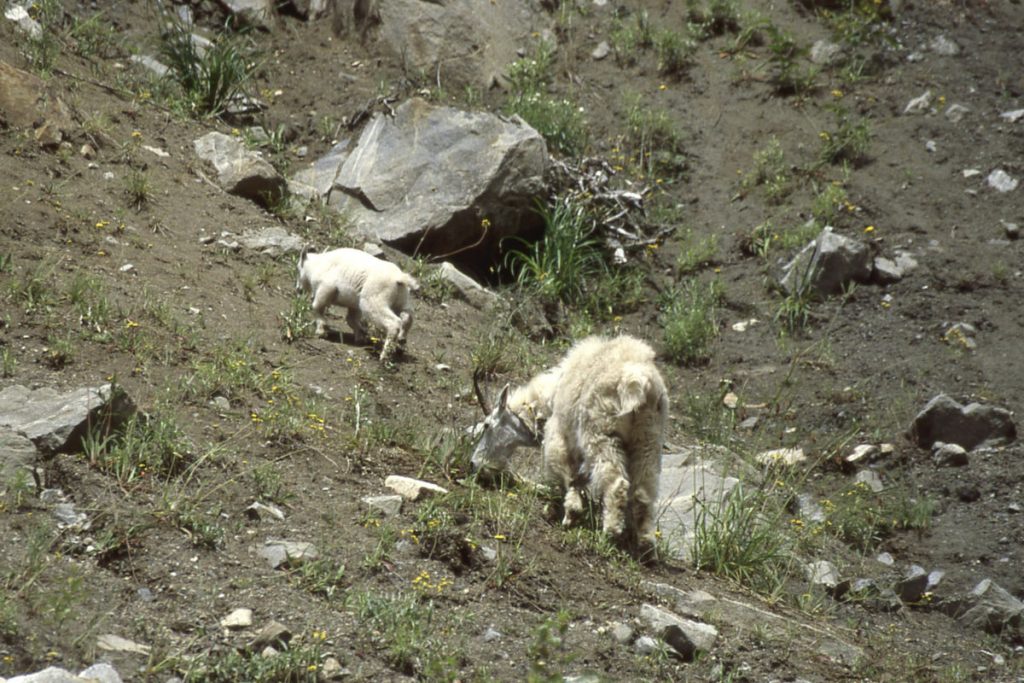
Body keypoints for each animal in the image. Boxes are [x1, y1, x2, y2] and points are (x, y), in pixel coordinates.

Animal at [468, 335, 667, 557]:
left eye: (487, 425)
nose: (474, 464)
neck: (549, 398)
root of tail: (636, 383)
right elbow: (577, 477)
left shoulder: (559, 434)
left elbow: (566, 473)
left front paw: (569, 513)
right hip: (648, 439)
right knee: (644, 491)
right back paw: (646, 546)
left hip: (600, 432)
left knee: (616, 482)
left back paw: (610, 533)